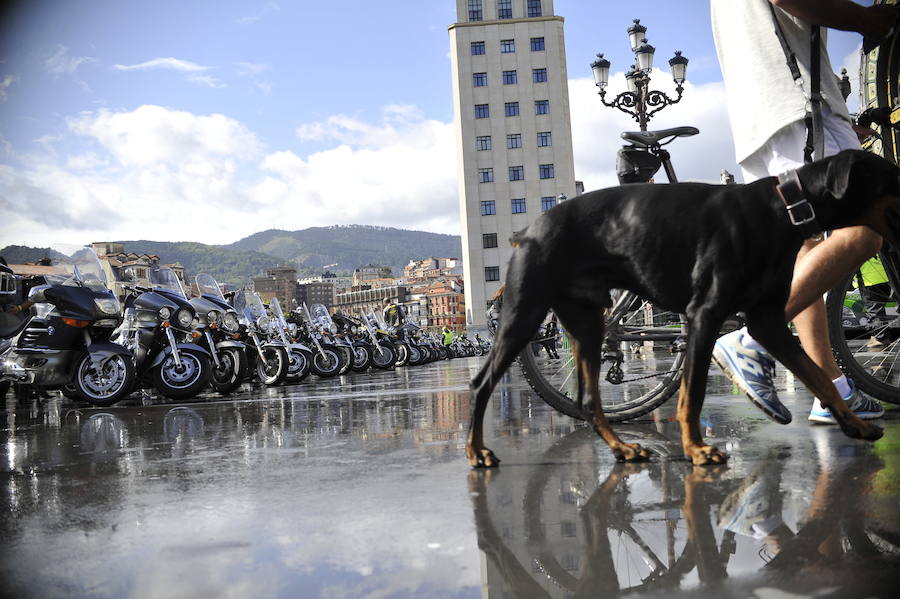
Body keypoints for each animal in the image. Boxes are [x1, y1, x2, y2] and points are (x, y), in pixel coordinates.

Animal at [472, 150, 900, 468]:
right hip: (524, 314)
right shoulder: (704, 315)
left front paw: (854, 424)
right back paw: (477, 452)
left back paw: (621, 448)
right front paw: (696, 449)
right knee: (481, 382)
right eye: (896, 178)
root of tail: (526, 230)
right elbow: (691, 393)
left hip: (586, 322)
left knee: (589, 400)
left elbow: (817, 375)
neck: (787, 208)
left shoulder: (768, 321)